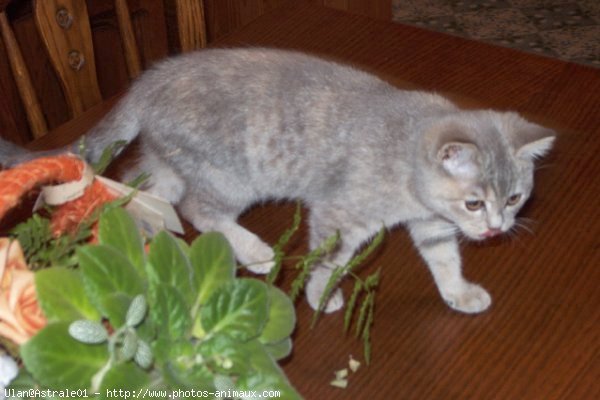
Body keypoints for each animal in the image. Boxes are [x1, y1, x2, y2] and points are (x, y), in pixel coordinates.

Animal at [0, 48, 556, 314]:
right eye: (474, 203)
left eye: (514, 197)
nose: (496, 228)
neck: (406, 156)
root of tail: (147, 81)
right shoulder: (340, 213)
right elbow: (330, 258)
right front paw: (320, 293)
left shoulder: (431, 225)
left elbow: (444, 259)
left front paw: (458, 292)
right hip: (231, 174)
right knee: (199, 210)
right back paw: (256, 252)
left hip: (170, 163)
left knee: (146, 194)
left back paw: (145, 239)